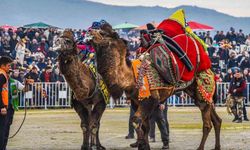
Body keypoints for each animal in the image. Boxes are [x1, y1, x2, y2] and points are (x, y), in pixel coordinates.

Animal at [86, 22, 223, 150]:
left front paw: (142, 144)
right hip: (197, 93)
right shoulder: (136, 101)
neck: (131, 76)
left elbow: (136, 121)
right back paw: (217, 146)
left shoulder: (150, 99)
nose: (89, 31)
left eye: (102, 33)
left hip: (203, 88)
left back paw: (200, 147)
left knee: (207, 124)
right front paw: (143, 145)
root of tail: (211, 71)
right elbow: (144, 126)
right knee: (216, 120)